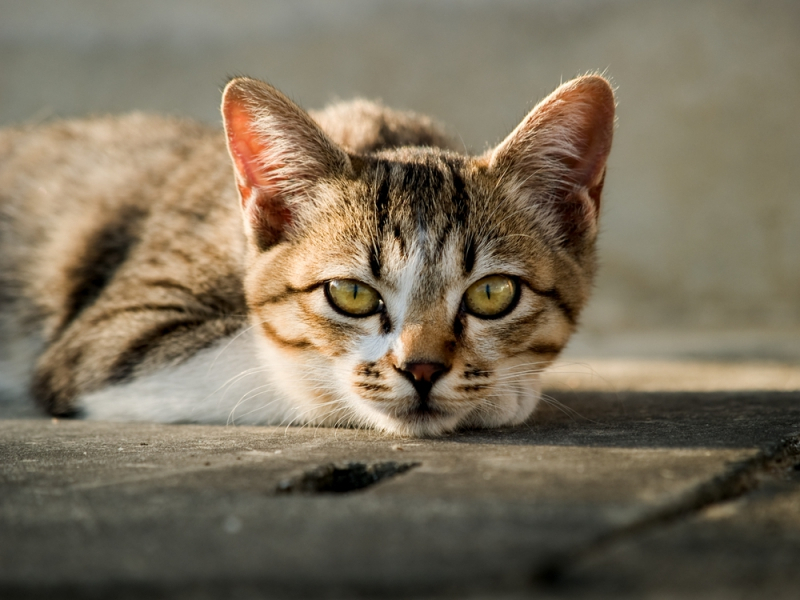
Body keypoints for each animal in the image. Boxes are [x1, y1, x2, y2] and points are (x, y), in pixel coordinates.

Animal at [0, 76, 616, 436]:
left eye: (492, 294)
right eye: (351, 294)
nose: (421, 369)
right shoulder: (110, 340)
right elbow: (286, 365)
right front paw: (506, 393)